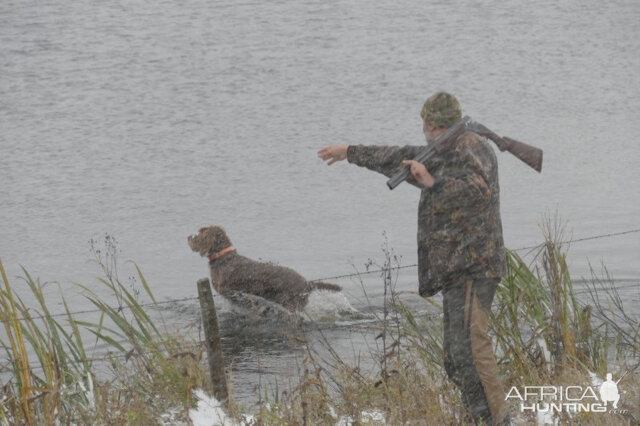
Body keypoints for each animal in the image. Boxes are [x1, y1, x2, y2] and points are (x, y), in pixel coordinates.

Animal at [188, 225, 342, 312]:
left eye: (201, 232)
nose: (189, 236)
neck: (224, 258)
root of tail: (307, 283)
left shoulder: (231, 291)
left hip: (292, 303)